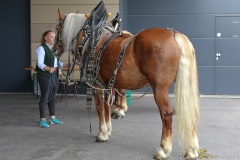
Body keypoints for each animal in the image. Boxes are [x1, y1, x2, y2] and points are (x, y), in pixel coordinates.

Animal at [55, 2, 199, 160]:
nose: (55, 50)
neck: (92, 38)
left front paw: (102, 133)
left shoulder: (96, 84)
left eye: (57, 28)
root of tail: (174, 34)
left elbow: (100, 107)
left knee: (166, 113)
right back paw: (191, 150)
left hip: (159, 88)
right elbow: (107, 106)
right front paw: (109, 128)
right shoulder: (108, 84)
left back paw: (163, 149)